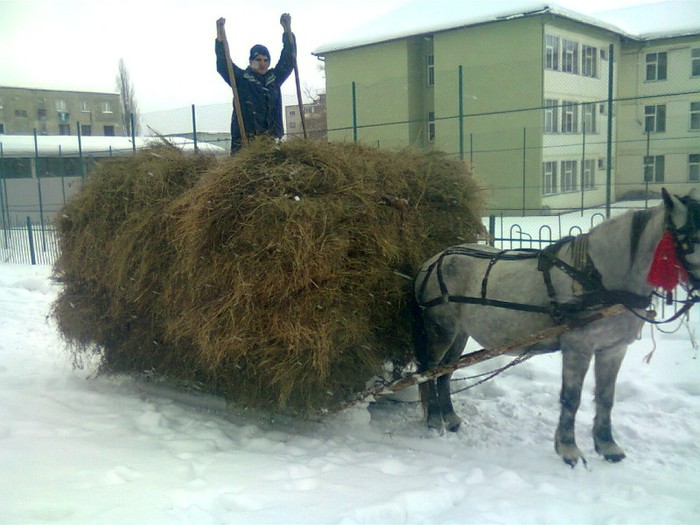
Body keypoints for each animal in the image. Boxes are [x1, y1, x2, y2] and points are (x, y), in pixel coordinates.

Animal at [412, 186, 696, 464]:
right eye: (692, 239)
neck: (599, 279)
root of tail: (432, 261)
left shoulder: (613, 349)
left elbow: (606, 397)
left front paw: (607, 445)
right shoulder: (578, 347)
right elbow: (571, 398)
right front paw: (568, 449)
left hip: (459, 332)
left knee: (445, 373)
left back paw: (450, 418)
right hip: (441, 329)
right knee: (428, 370)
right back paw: (434, 419)